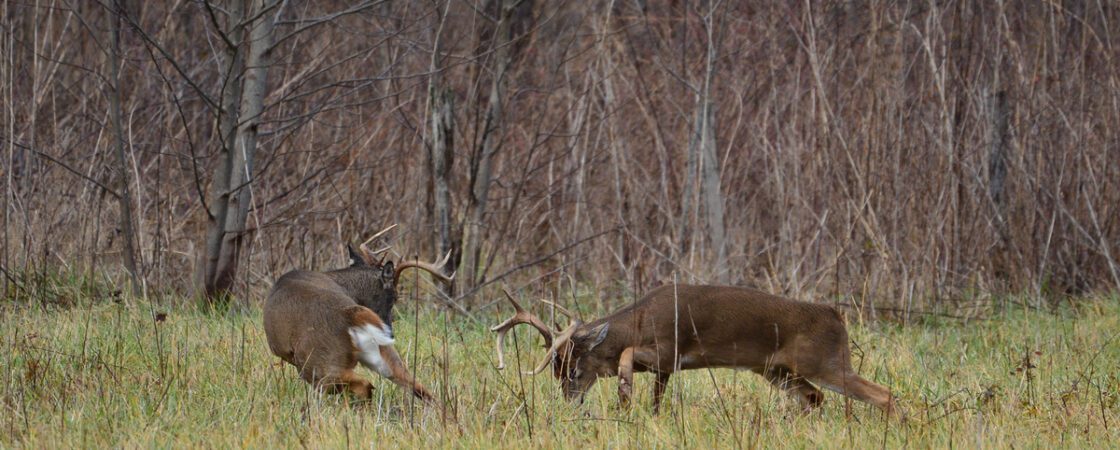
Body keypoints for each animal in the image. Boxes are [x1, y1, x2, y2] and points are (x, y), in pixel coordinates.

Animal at [262, 239, 450, 400]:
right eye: (394, 296)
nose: (390, 332)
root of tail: (352, 316)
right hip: (383, 353)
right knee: (418, 387)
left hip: (316, 362)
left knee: (362, 384)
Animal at [490, 284, 900, 418]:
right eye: (556, 372)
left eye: (574, 369)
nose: (570, 402)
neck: (638, 321)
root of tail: (836, 316)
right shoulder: (666, 369)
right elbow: (656, 400)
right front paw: (641, 408)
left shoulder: (669, 350)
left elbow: (626, 356)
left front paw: (624, 391)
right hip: (777, 370)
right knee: (815, 398)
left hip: (823, 361)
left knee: (884, 394)